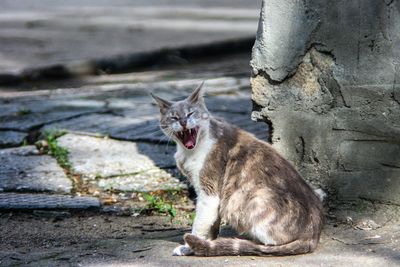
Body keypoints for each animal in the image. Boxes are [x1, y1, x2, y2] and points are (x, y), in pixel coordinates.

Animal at [152, 82, 324, 258]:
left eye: (190, 113)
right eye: (173, 117)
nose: (183, 122)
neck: (190, 151)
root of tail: (313, 234)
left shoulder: (208, 192)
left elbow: (199, 224)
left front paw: (188, 247)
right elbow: (212, 224)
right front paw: (210, 241)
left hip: (251, 198)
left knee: (271, 244)